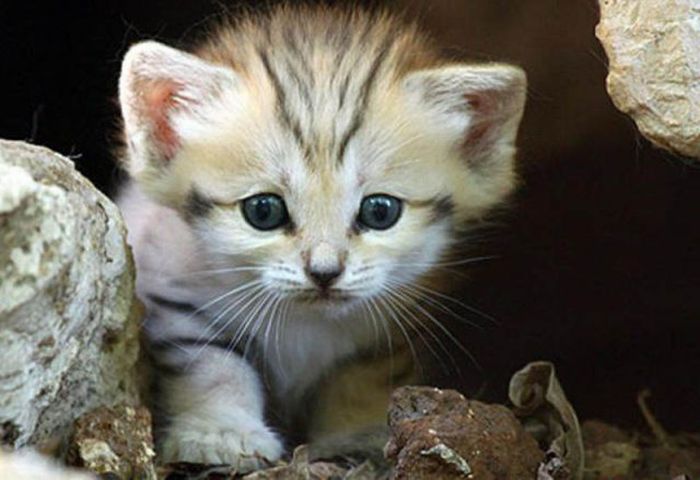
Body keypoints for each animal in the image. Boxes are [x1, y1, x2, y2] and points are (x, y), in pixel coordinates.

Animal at [117, 1, 528, 470]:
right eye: (263, 211)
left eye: (380, 211)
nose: (325, 271)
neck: (304, 323)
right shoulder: (175, 296)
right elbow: (213, 364)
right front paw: (222, 432)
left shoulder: (390, 328)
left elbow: (361, 377)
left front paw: (357, 435)